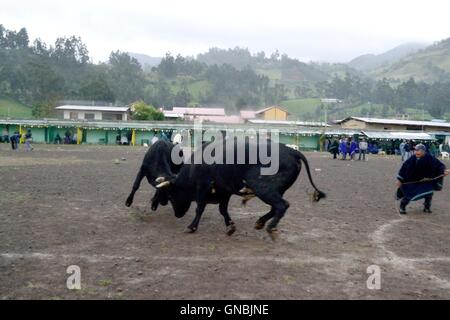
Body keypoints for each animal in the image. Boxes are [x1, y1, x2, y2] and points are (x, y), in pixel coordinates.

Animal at [125, 139, 326, 239]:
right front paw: (230, 226)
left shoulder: (203, 186)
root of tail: (293, 151)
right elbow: (222, 210)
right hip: (272, 189)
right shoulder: (225, 192)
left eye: (172, 195)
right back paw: (260, 222)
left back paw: (270, 227)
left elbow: (200, 208)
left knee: (282, 205)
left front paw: (192, 227)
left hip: (261, 187)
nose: (178, 215)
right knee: (275, 207)